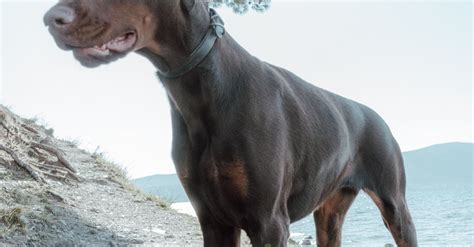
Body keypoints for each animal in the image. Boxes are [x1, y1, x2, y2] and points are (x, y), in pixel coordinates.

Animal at [44, 0, 418, 246]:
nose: (50, 18)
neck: (201, 88)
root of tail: (379, 117)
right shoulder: (212, 219)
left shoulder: (269, 222)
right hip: (330, 211)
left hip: (395, 205)